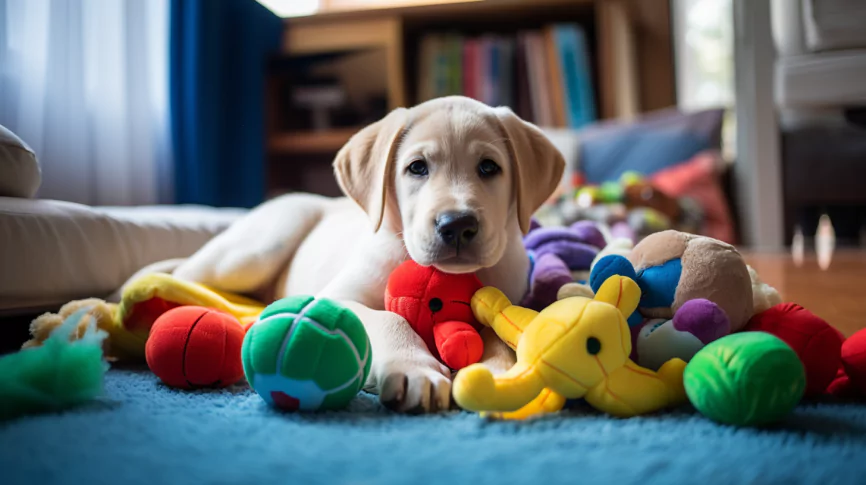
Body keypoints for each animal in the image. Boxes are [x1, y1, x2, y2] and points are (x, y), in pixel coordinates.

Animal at [169, 97, 564, 412]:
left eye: (488, 167)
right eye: (417, 167)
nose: (457, 225)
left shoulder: (505, 299)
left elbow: (495, 333)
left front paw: (498, 372)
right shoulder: (336, 297)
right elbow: (390, 318)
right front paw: (413, 368)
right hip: (257, 248)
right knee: (184, 276)